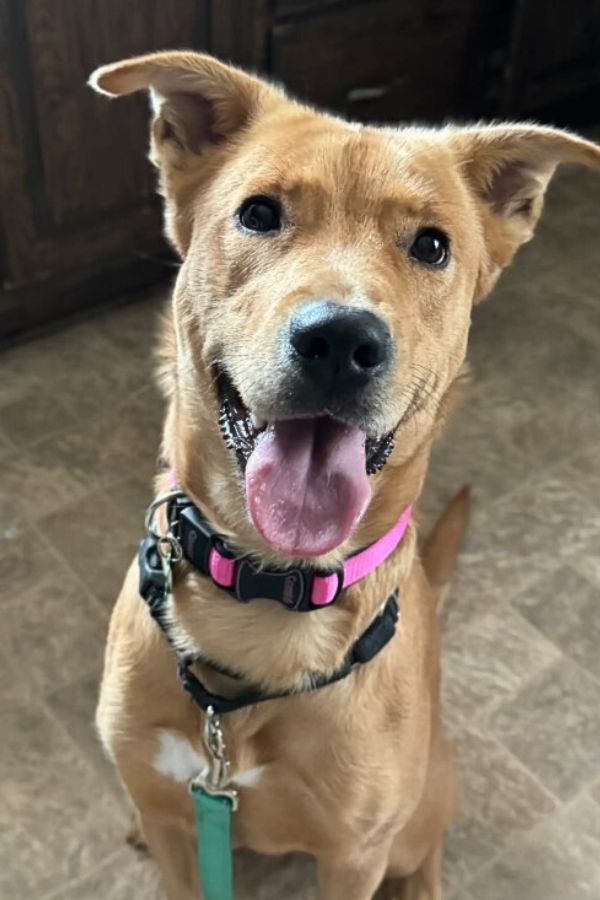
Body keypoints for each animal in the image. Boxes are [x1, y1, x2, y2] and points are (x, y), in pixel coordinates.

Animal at [89, 51, 600, 900]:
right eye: (260, 213)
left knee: (426, 852)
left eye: (432, 246)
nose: (339, 340)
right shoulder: (173, 809)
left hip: (426, 801)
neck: (267, 597)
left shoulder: (354, 854)